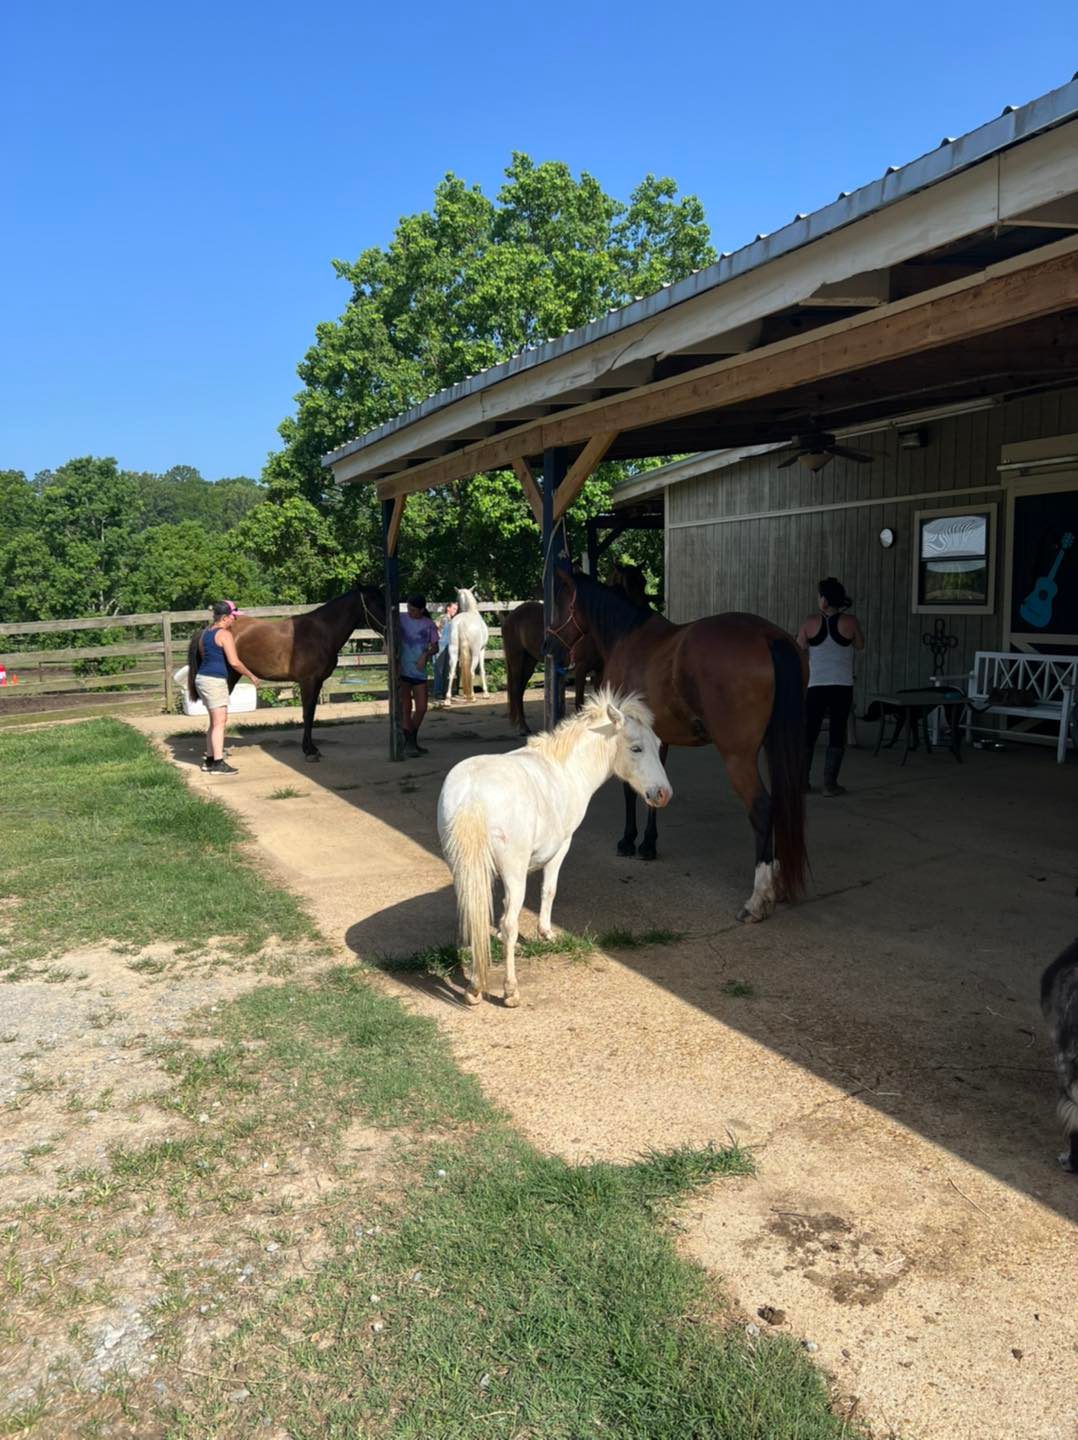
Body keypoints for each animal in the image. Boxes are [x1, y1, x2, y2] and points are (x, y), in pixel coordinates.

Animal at [185, 584, 385, 766]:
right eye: (375, 601)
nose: (388, 628)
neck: (321, 633)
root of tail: (207, 630)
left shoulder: (317, 682)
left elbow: (311, 714)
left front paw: (313, 748)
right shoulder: (307, 682)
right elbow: (307, 714)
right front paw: (309, 751)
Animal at [431, 688, 667, 1008]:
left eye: (658, 745)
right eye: (636, 749)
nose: (663, 794)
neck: (566, 769)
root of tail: (473, 795)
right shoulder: (561, 847)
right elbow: (548, 890)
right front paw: (545, 933)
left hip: (460, 866)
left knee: (469, 913)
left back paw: (474, 984)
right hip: (513, 870)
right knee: (510, 924)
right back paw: (509, 991)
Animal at [549, 570, 805, 921]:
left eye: (559, 603)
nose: (548, 647)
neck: (626, 638)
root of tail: (768, 636)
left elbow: (629, 790)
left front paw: (628, 840)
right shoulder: (658, 739)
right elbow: (652, 789)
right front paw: (647, 844)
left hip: (738, 758)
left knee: (763, 809)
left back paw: (757, 899)